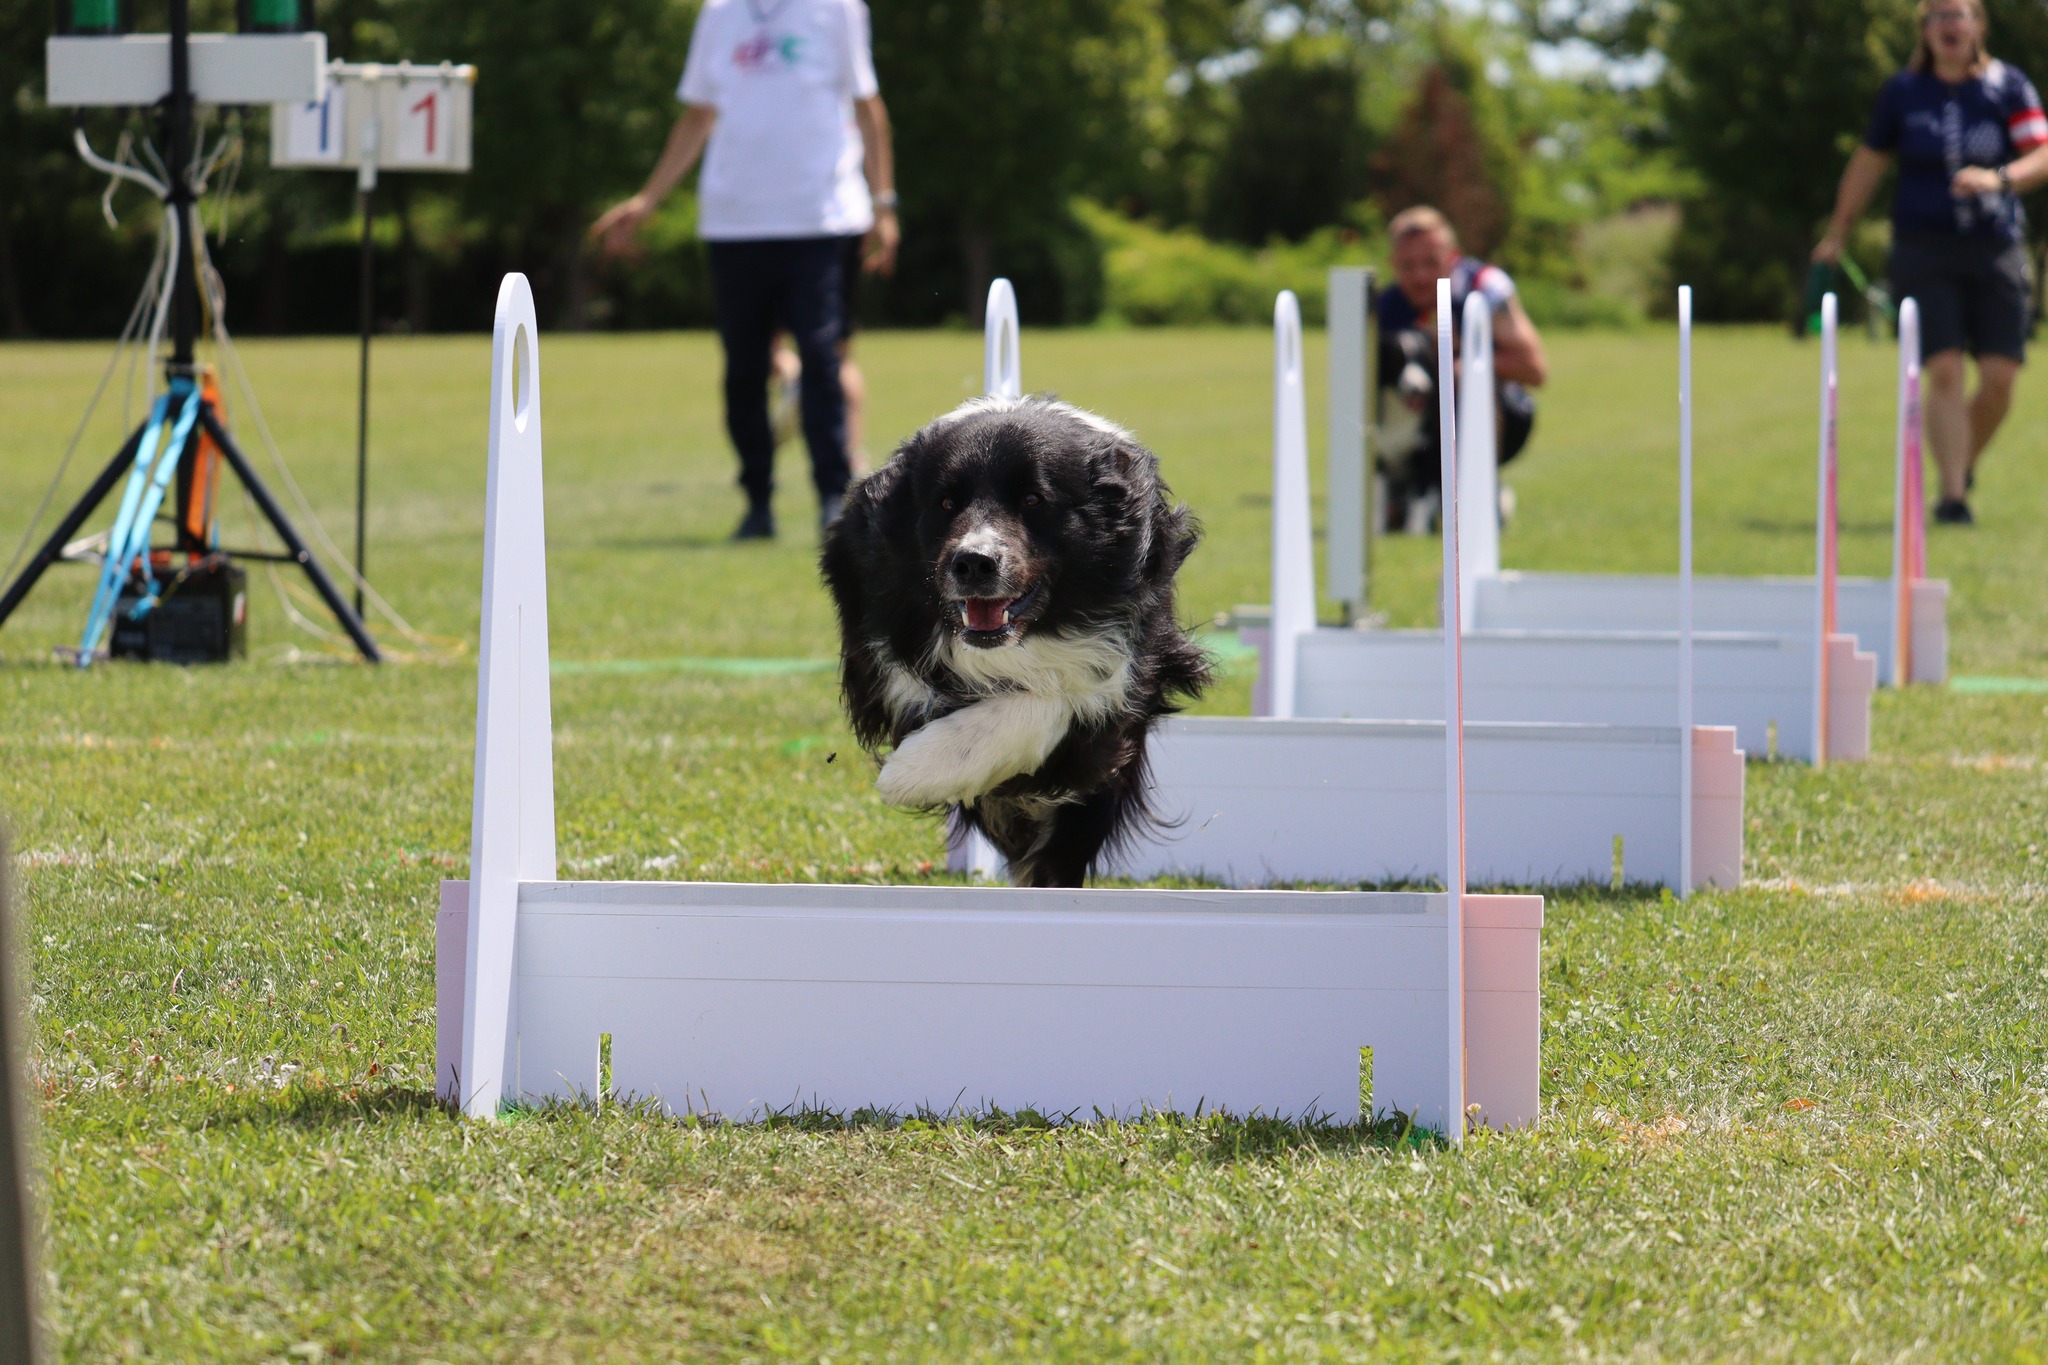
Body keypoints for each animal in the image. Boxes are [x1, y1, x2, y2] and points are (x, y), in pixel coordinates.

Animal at [820, 394, 1212, 888]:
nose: (973, 563)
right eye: (946, 502)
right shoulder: (882, 632)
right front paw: (924, 766)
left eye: (1033, 499)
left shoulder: (1138, 656)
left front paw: (915, 769)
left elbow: (1066, 694)